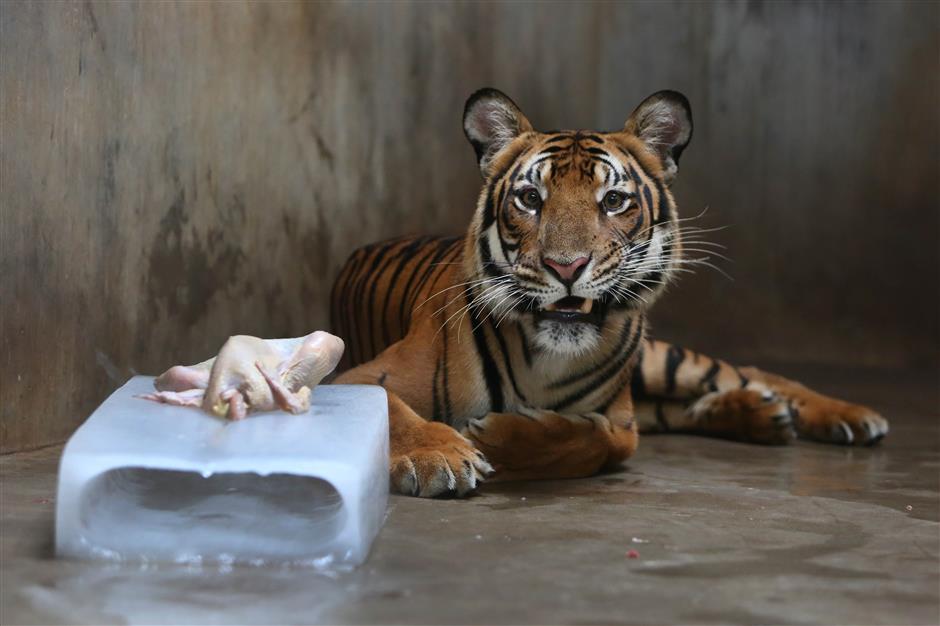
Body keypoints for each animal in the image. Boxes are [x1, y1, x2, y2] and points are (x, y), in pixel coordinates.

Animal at [332, 88, 888, 498]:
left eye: (614, 200)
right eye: (530, 198)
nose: (566, 266)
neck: (544, 360)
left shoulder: (621, 423)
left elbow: (592, 440)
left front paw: (493, 437)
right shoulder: (357, 377)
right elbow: (392, 411)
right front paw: (439, 455)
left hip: (661, 362)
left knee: (749, 373)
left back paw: (851, 418)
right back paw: (764, 417)